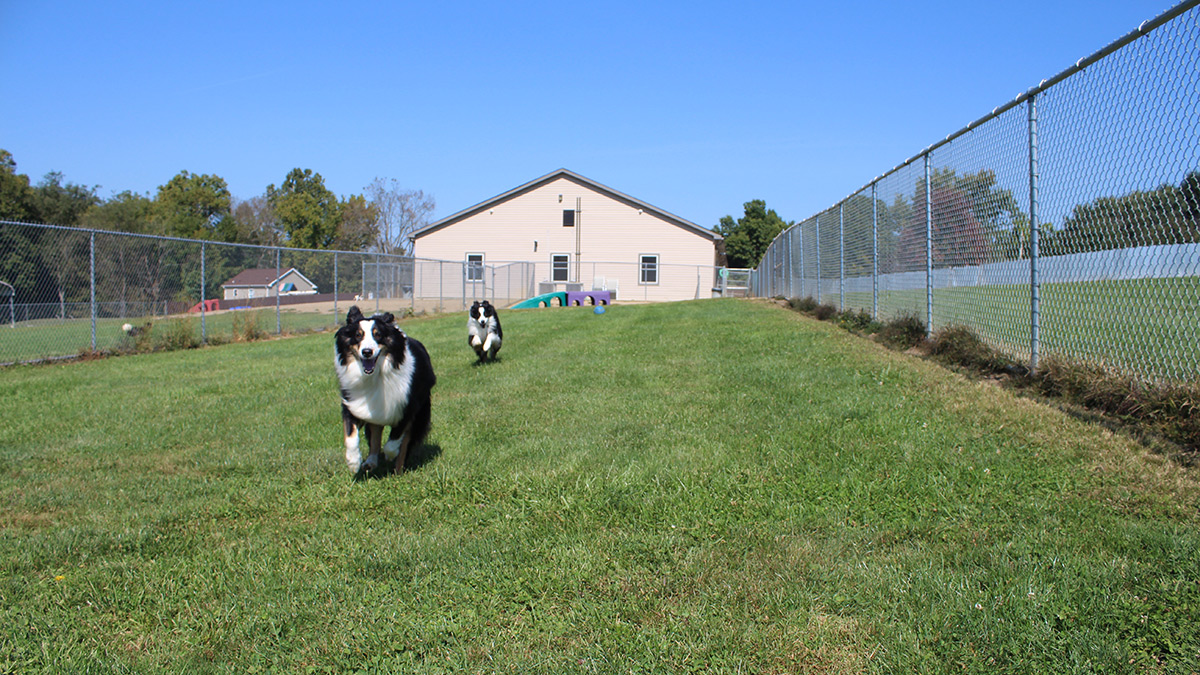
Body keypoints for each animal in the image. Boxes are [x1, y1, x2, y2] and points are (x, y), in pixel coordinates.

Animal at [333, 307, 436, 475]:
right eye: (358, 335)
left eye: (378, 335)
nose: (367, 352)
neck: (376, 375)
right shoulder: (353, 403)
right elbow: (350, 435)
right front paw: (353, 462)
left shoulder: (407, 406)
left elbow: (395, 439)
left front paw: (391, 455)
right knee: (375, 434)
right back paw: (370, 462)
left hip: (421, 412)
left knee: (405, 442)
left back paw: (398, 470)